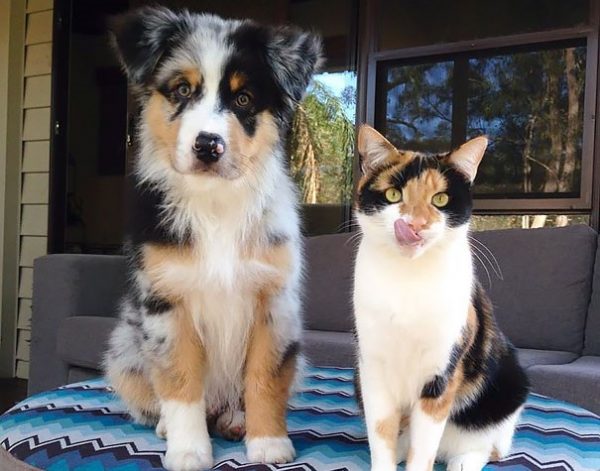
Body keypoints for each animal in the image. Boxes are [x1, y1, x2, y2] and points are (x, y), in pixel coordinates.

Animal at [103, 8, 322, 471]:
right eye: (182, 90)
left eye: (244, 100)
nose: (209, 146)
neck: (216, 201)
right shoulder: (167, 304)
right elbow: (181, 381)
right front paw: (188, 450)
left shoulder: (274, 301)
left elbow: (264, 377)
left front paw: (268, 443)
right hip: (124, 352)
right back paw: (167, 427)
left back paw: (236, 420)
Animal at [354, 125, 528, 471]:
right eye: (393, 195)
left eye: (441, 199)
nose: (415, 225)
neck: (408, 278)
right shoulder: (372, 366)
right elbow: (381, 433)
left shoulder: (442, 372)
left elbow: (423, 449)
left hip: (509, 386)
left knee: (489, 445)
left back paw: (463, 460)